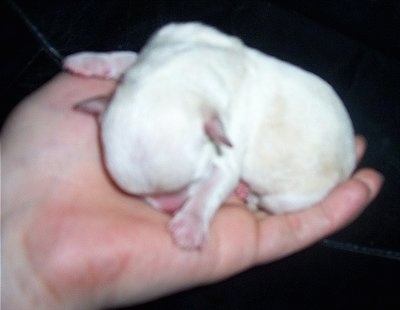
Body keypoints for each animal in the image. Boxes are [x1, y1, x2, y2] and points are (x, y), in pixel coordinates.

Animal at [63, 21, 356, 249]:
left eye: (192, 180)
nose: (169, 207)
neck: (181, 72)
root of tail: (349, 161)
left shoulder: (228, 144)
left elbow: (211, 189)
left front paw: (190, 225)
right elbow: (129, 56)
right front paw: (89, 61)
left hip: (293, 198)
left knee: (270, 202)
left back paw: (249, 194)